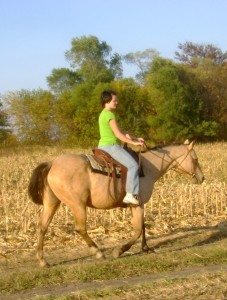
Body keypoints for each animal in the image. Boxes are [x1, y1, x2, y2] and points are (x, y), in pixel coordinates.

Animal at [27, 139, 204, 266]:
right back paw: (98, 252)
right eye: (195, 159)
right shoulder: (138, 204)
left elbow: (142, 226)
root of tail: (52, 164)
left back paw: (42, 260)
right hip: (78, 205)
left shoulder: (138, 205)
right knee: (80, 228)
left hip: (52, 202)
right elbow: (138, 229)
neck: (148, 168)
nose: (202, 178)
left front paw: (146, 248)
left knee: (42, 227)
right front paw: (120, 250)